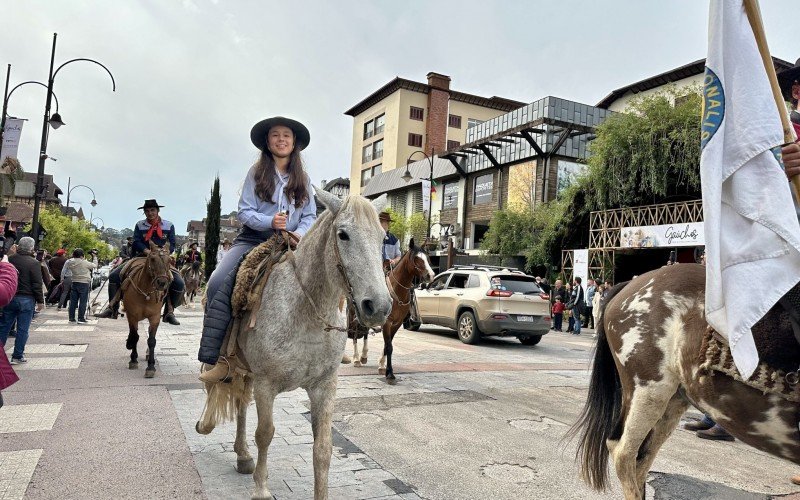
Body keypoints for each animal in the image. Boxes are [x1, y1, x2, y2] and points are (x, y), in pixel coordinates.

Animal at [122, 240, 173, 376]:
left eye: (169, 260)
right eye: (152, 259)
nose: (162, 283)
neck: (146, 293)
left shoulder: (155, 318)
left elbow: (151, 340)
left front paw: (151, 366)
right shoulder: (132, 316)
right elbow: (135, 336)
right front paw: (133, 359)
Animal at [195, 191, 392, 500]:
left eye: (383, 237)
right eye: (343, 234)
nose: (379, 307)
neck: (306, 312)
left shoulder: (324, 386)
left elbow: (323, 448)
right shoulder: (266, 385)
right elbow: (265, 434)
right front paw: (261, 490)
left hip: (247, 371)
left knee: (241, 403)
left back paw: (243, 455)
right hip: (225, 364)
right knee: (218, 387)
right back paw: (208, 426)